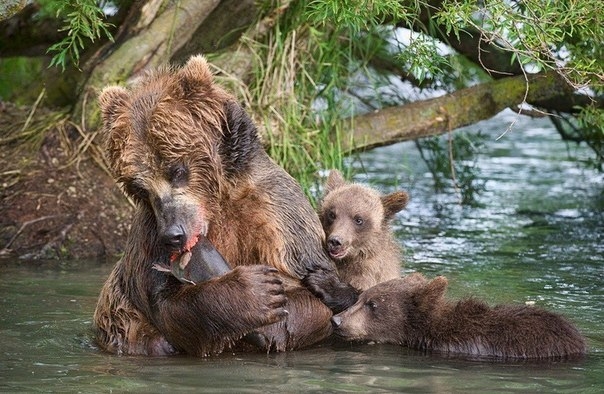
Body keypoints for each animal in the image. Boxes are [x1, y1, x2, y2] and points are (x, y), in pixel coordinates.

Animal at [94, 56, 356, 358]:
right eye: (139, 187)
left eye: (177, 169)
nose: (173, 235)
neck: (219, 201)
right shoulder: (149, 234)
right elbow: (166, 301)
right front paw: (255, 293)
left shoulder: (278, 213)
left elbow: (311, 292)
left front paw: (275, 323)